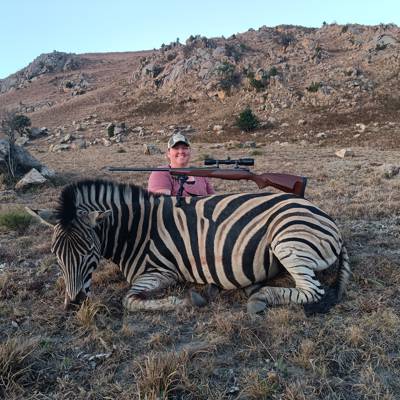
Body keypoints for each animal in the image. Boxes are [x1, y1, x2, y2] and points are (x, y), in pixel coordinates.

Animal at [27, 179, 351, 314]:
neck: (135, 230)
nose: (74, 304)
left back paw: (260, 297)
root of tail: (324, 216)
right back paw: (255, 289)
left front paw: (187, 300)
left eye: (90, 251)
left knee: (312, 291)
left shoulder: (162, 272)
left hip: (288, 240)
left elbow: (128, 300)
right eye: (56, 255)